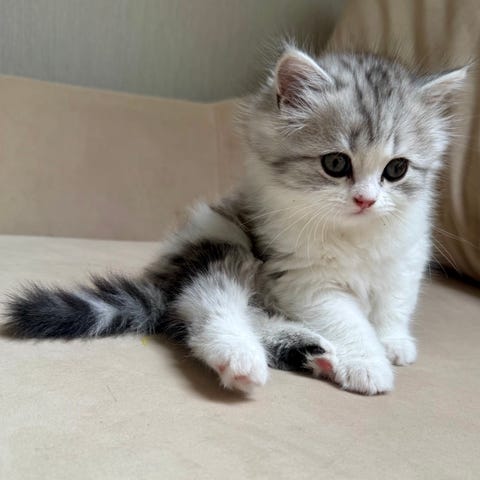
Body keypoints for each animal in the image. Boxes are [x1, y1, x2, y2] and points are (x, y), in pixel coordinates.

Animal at [5, 46, 467, 395]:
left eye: (397, 169)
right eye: (336, 164)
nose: (366, 200)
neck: (353, 236)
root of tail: (161, 281)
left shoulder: (405, 257)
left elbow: (394, 304)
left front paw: (393, 342)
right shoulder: (305, 278)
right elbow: (348, 320)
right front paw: (368, 362)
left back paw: (311, 351)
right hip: (222, 238)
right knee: (206, 305)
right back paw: (242, 358)